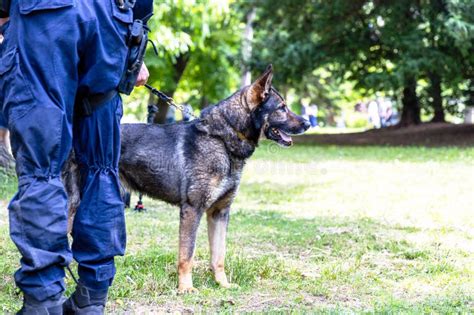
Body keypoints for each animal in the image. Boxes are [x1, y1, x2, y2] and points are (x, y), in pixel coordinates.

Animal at [66, 65, 312, 296]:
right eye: (282, 108)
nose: (307, 123)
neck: (222, 139)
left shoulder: (219, 213)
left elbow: (219, 255)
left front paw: (222, 284)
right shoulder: (192, 210)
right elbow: (187, 255)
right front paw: (185, 288)